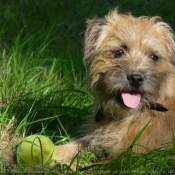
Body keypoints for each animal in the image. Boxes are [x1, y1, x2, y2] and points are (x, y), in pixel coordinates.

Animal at [1, 7, 175, 167]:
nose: (136, 78)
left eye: (154, 57)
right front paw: (12, 156)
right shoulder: (91, 142)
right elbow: (65, 148)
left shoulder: (123, 160)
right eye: (118, 52)